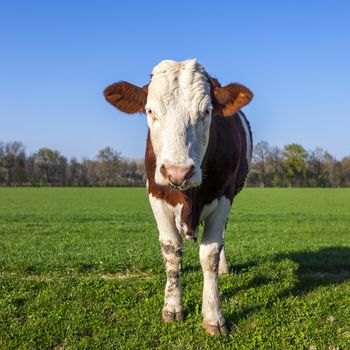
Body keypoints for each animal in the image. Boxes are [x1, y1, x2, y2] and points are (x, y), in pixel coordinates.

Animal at [102, 58, 253, 334]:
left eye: (206, 112)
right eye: (150, 111)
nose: (178, 172)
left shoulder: (224, 196)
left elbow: (210, 254)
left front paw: (213, 315)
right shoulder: (155, 194)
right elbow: (172, 251)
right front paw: (172, 307)